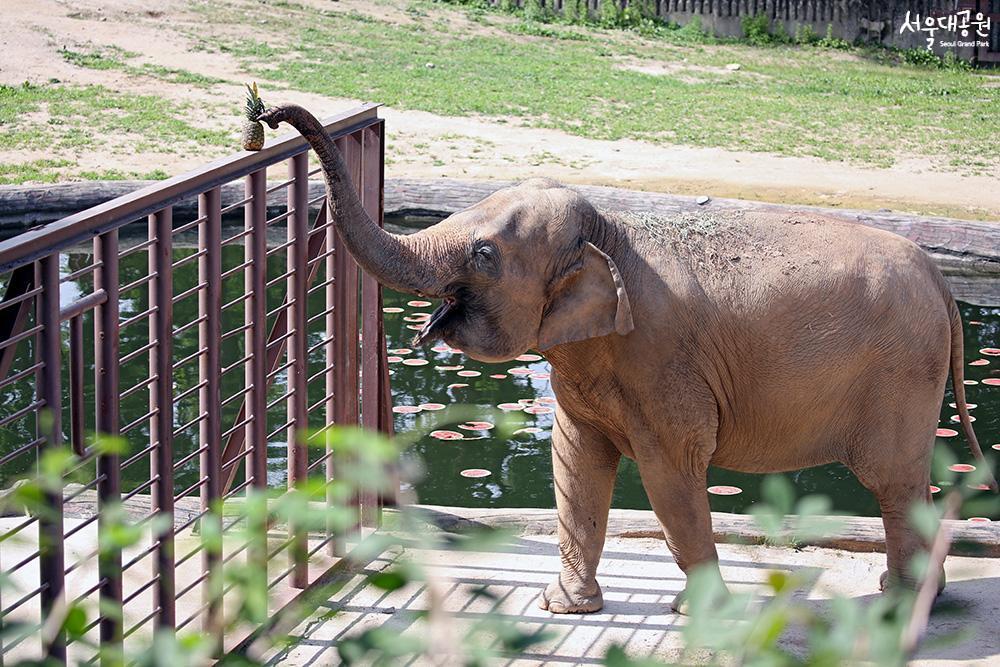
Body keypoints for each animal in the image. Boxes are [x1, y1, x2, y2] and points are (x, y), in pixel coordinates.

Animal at [260, 105, 1000, 616]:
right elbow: (575, 466)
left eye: (484, 255)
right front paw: (565, 609)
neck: (611, 233)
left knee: (893, 481)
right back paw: (908, 594)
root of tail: (941, 282)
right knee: (904, 484)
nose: (266, 115)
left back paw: (902, 602)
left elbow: (672, 478)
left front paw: (699, 614)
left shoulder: (663, 363)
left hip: (903, 372)